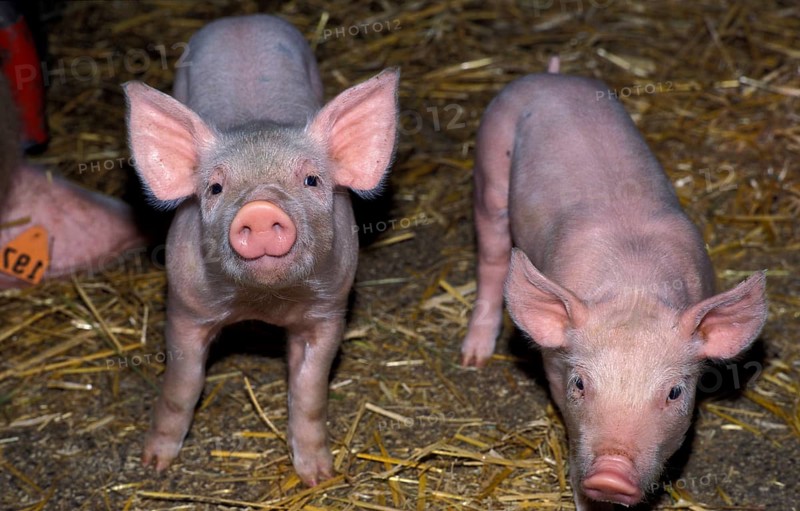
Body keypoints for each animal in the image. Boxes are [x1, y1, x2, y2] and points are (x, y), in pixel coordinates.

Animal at [123, 15, 398, 486]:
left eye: (311, 180)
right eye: (215, 187)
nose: (261, 209)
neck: (260, 304)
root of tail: (241, 19)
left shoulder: (329, 310)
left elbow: (309, 391)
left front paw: (318, 477)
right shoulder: (184, 307)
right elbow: (182, 386)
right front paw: (153, 463)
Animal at [461, 61, 767, 510]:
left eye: (675, 392)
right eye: (580, 384)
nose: (611, 474)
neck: (633, 289)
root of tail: (550, 76)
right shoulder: (555, 365)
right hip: (489, 163)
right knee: (491, 255)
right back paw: (473, 358)